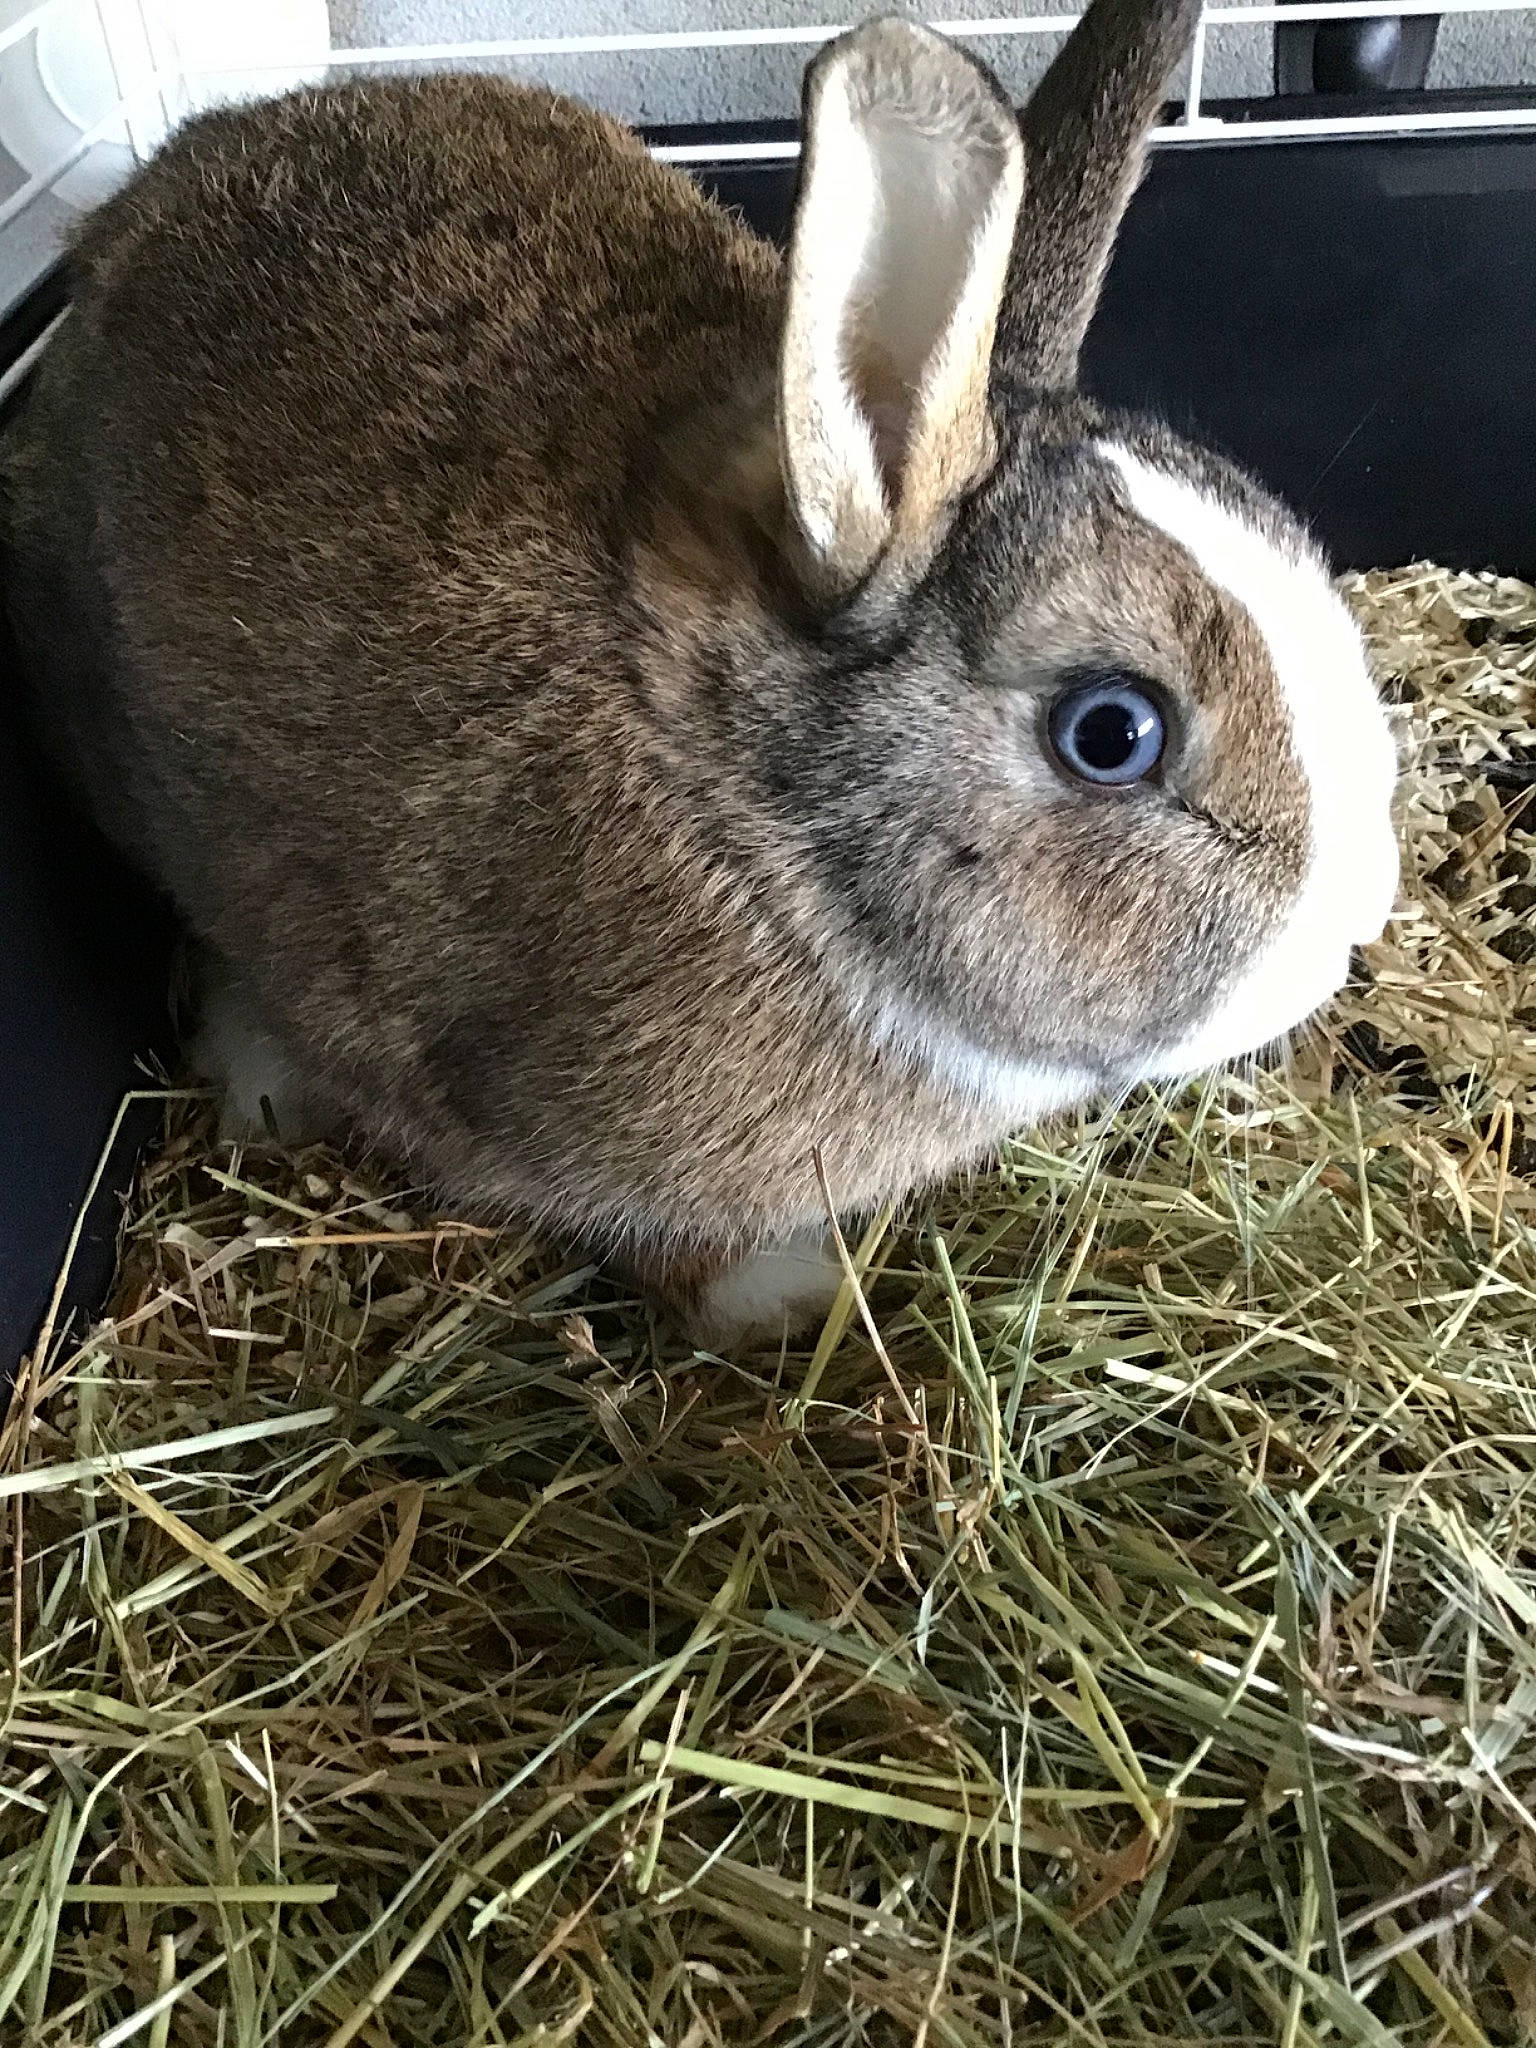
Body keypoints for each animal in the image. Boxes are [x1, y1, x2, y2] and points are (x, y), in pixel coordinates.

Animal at [2, 1, 1400, 1349]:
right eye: (1113, 731)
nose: (1357, 922)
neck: (762, 822)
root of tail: (121, 214)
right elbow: (670, 1245)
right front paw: (793, 1297)